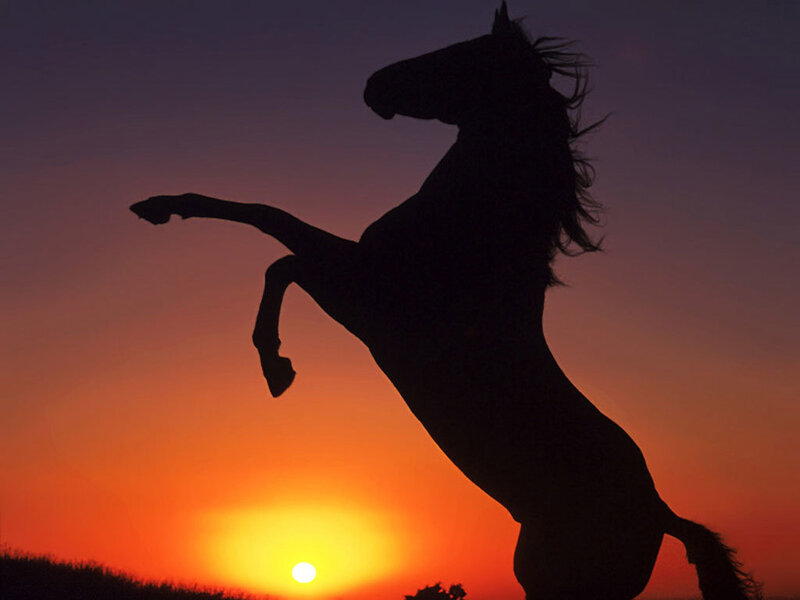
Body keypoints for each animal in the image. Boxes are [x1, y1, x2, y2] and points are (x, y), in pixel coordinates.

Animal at [131, 4, 762, 599]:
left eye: (462, 56)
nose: (374, 83)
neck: (467, 239)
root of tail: (662, 515)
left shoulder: (362, 296)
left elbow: (278, 252)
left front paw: (276, 368)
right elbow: (271, 226)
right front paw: (159, 208)